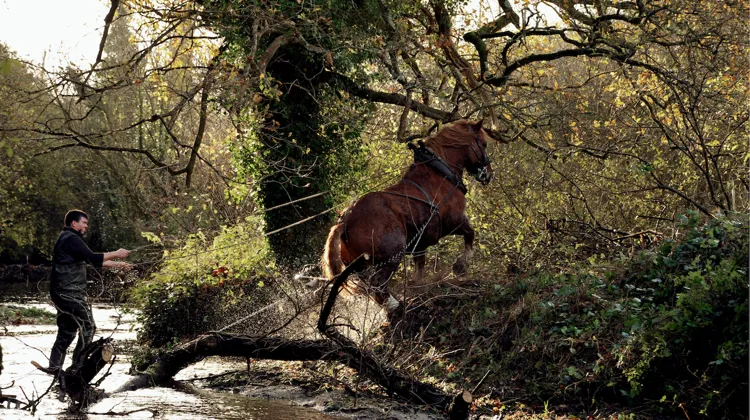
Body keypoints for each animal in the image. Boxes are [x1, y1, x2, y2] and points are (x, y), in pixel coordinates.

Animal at [320, 119, 494, 313]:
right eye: (483, 144)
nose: (488, 174)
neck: (440, 174)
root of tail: (346, 221)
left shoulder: (420, 244)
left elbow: (419, 267)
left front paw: (418, 287)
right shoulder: (455, 221)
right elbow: (470, 233)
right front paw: (461, 265)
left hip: (359, 265)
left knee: (367, 286)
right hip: (392, 254)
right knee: (377, 284)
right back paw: (394, 305)